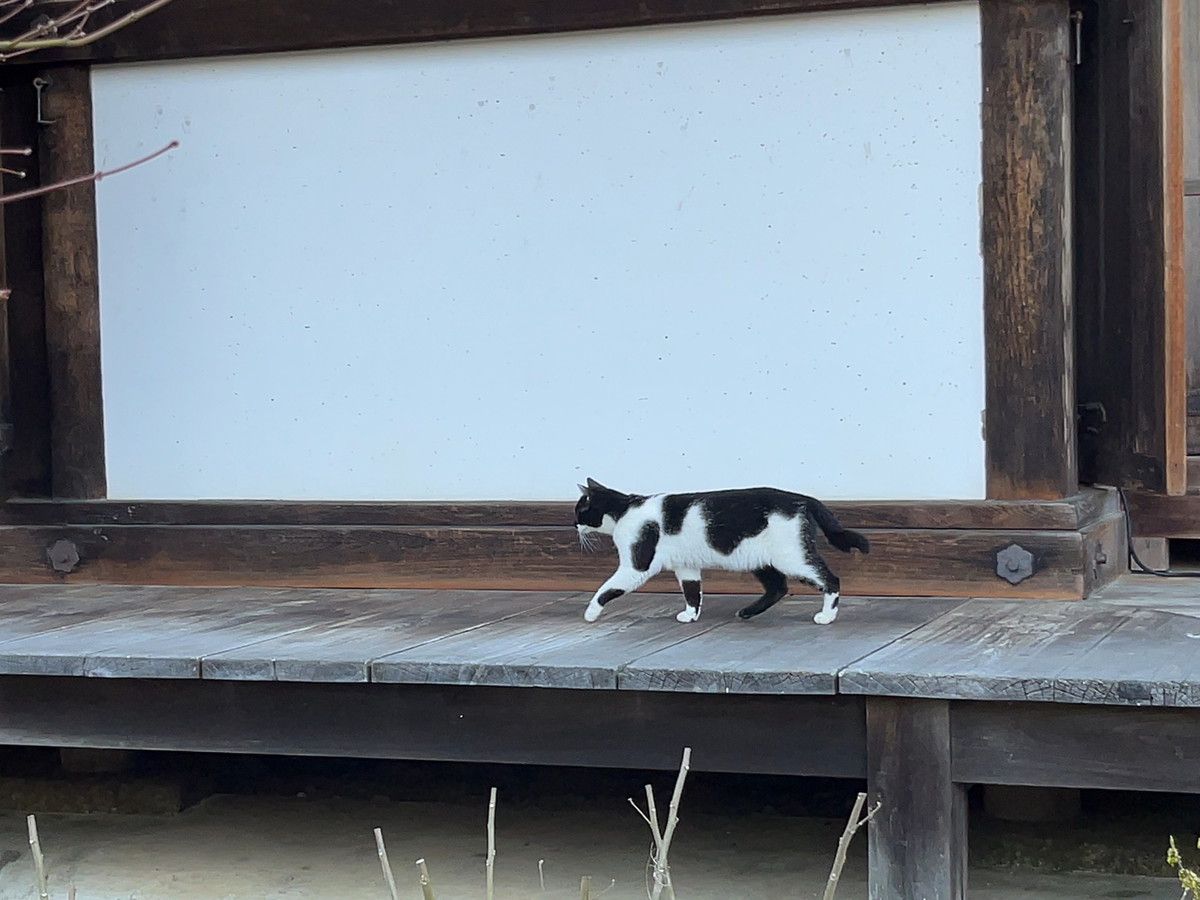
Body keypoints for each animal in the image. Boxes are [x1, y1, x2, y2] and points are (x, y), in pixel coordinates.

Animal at [573, 480, 873, 628]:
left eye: (579, 511)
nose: (574, 524)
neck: (624, 510)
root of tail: (804, 498)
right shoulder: (686, 566)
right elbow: (692, 592)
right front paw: (690, 616)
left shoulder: (636, 566)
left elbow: (606, 588)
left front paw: (590, 613)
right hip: (760, 558)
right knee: (778, 587)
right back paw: (748, 613)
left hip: (791, 557)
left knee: (830, 579)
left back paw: (827, 617)